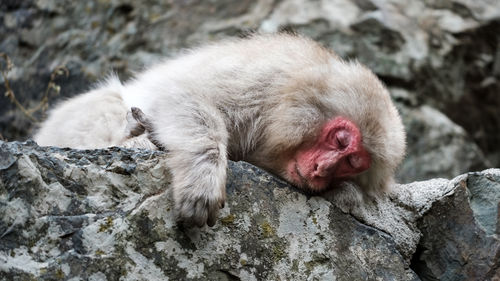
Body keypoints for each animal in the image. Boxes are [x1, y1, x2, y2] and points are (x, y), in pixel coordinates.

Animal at [34, 33, 406, 225]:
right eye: (340, 140)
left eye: (352, 163)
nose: (321, 169)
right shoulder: (263, 83)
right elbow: (181, 94)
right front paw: (203, 179)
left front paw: (346, 192)